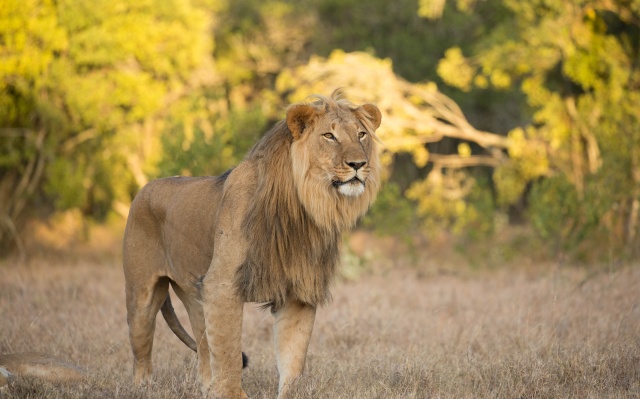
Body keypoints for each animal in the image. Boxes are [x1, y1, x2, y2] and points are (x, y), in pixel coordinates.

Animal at [124, 91, 380, 399]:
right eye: (329, 136)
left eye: (361, 134)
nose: (358, 164)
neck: (300, 208)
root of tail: (145, 188)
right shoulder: (222, 286)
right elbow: (230, 353)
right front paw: (232, 393)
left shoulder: (298, 293)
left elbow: (293, 361)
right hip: (141, 295)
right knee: (142, 354)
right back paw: (143, 388)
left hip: (195, 294)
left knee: (204, 351)